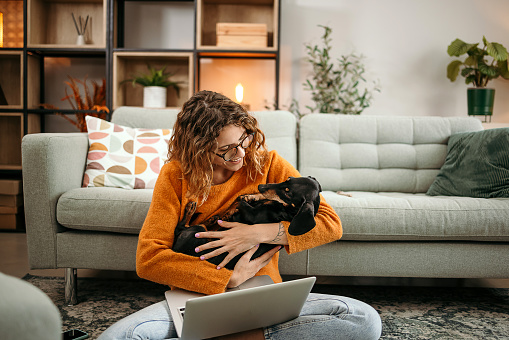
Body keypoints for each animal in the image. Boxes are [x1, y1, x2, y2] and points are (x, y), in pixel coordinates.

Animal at [173, 177, 320, 270]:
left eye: (288, 192)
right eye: (288, 178)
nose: (260, 186)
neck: (285, 209)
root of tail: (175, 249)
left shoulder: (253, 215)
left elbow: (239, 202)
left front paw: (229, 212)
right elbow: (245, 198)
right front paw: (252, 196)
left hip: (196, 231)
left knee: (182, 227)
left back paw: (193, 210)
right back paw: (211, 219)